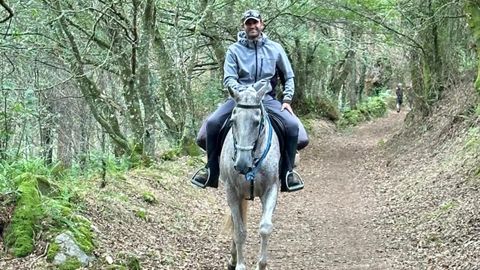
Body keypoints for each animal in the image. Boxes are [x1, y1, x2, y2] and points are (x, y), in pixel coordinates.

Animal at [219, 80, 280, 270]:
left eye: (256, 121)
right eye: (233, 121)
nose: (242, 164)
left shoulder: (271, 189)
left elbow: (265, 228)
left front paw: (261, 265)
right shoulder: (232, 192)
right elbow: (239, 231)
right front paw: (240, 264)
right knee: (236, 223)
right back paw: (232, 259)